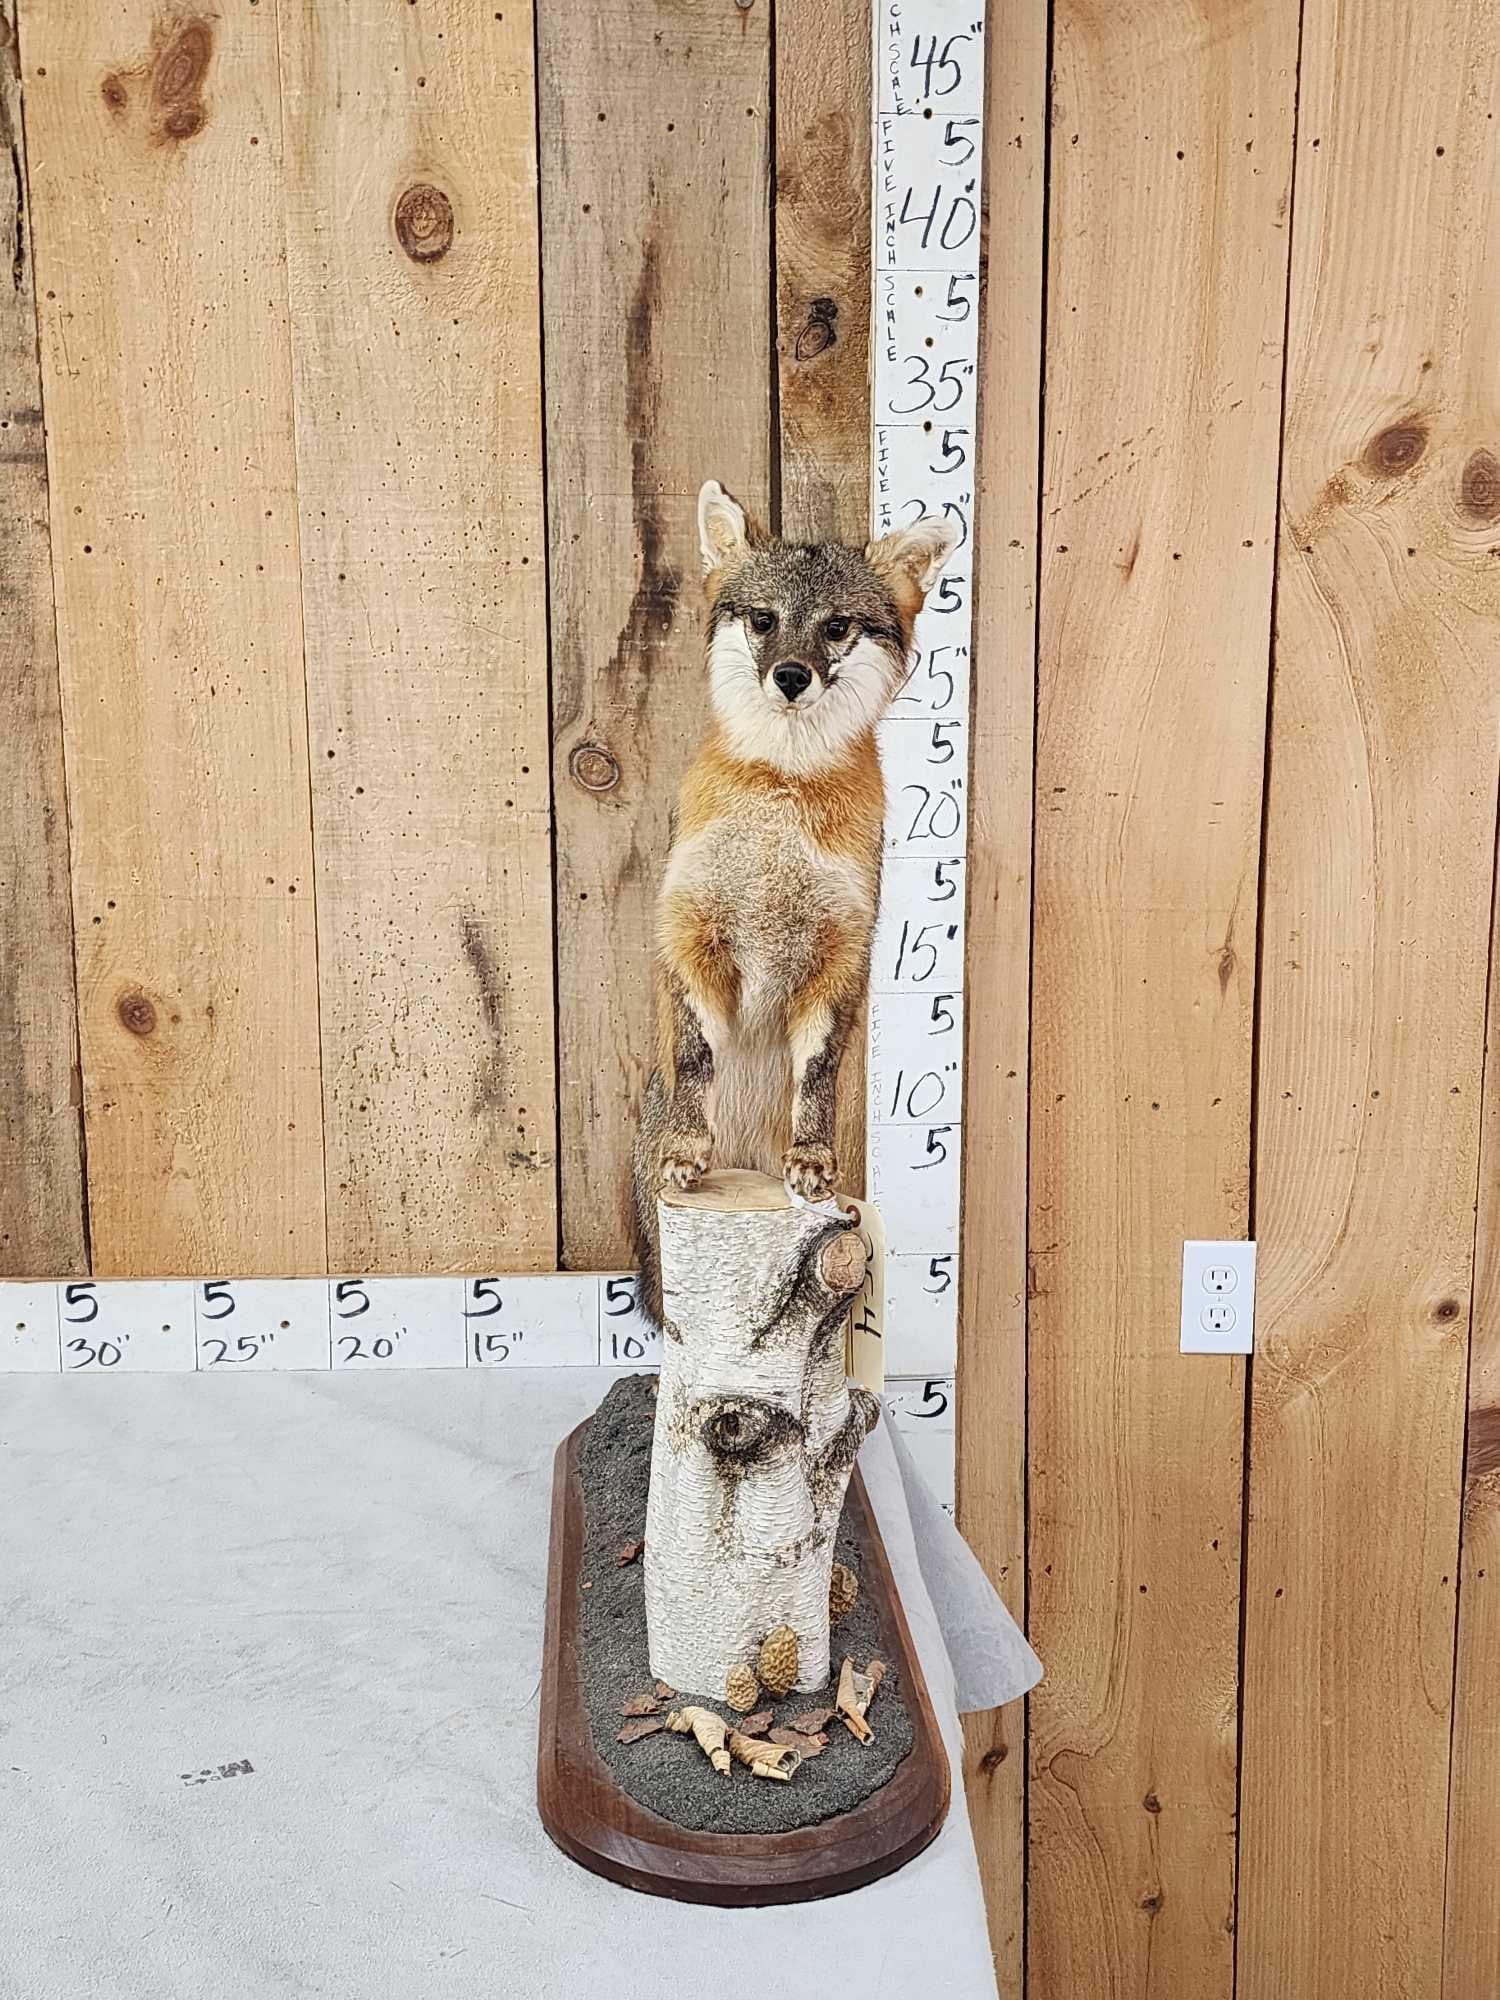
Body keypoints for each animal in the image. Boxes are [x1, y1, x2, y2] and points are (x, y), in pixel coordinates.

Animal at [631, 479, 961, 1326]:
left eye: (835, 628)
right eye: (763, 620)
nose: (790, 675)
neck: (783, 790)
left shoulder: (841, 953)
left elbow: (815, 1076)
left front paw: (808, 1157)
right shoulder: (691, 932)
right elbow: (696, 1061)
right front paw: (687, 1146)